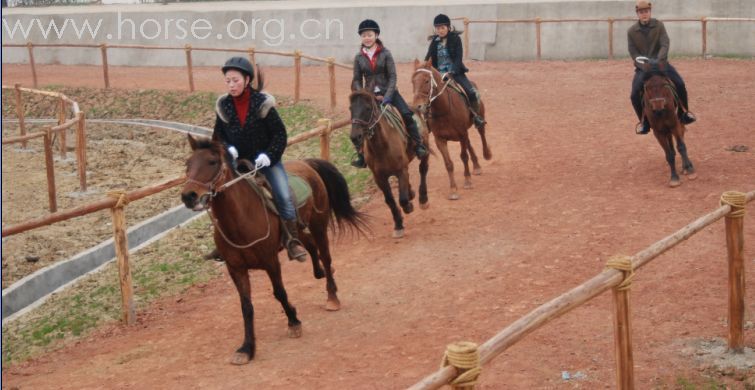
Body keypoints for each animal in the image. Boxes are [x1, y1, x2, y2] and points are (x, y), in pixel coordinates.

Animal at [184, 135, 372, 366]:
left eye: (212, 162)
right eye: (187, 164)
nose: (188, 196)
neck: (241, 219)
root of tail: (306, 163)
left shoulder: (270, 261)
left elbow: (279, 293)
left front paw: (293, 321)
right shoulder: (235, 268)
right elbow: (246, 306)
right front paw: (247, 348)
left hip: (319, 224)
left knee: (326, 256)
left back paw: (332, 297)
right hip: (299, 229)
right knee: (309, 245)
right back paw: (315, 268)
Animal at [350, 89, 428, 238]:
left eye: (368, 108)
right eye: (351, 109)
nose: (355, 137)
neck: (382, 146)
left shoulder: (400, 170)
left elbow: (402, 199)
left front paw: (408, 207)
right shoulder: (379, 178)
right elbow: (390, 200)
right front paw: (398, 225)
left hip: (424, 152)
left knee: (423, 170)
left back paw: (423, 199)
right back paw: (411, 193)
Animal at [410, 59, 494, 200]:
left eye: (427, 80)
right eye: (412, 81)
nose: (417, 106)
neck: (444, 110)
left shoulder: (462, 134)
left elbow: (463, 156)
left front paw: (467, 181)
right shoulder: (440, 139)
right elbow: (448, 163)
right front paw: (453, 189)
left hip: (478, 118)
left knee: (481, 133)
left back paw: (486, 154)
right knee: (469, 143)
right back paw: (476, 166)